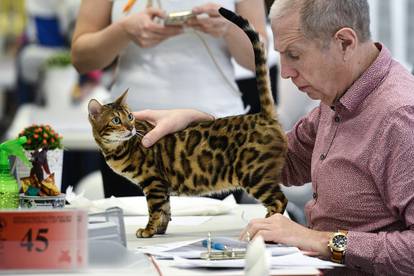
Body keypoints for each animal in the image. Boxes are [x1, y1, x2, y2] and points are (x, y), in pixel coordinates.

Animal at [87, 7, 288, 238]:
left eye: (130, 117)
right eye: (116, 120)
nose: (130, 128)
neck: (117, 149)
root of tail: (263, 115)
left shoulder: (153, 182)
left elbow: (154, 209)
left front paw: (148, 230)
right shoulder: (161, 186)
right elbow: (165, 210)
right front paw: (160, 231)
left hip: (254, 175)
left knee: (280, 201)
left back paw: (266, 227)